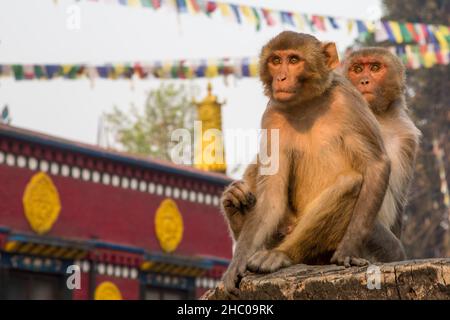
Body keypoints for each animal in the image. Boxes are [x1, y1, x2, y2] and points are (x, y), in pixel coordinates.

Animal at [221, 32, 400, 296]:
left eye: (294, 60)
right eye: (276, 60)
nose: (281, 77)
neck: (307, 103)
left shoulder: (349, 101)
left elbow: (376, 165)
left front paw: (348, 250)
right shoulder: (272, 116)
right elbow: (271, 196)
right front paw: (237, 263)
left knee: (352, 182)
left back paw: (281, 254)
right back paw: (237, 208)